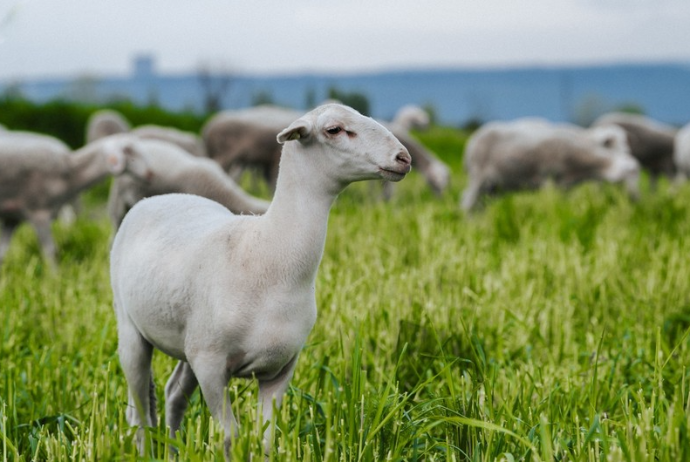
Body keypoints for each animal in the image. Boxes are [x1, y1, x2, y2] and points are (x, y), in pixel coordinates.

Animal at [0, 132, 150, 268]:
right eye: (128, 149)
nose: (148, 173)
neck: (70, 174)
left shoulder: (12, 218)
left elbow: (3, 252)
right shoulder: (39, 211)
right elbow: (50, 251)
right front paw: (55, 277)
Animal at [460, 117, 644, 211]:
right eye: (632, 171)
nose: (635, 199)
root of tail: (472, 140)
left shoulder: (563, 185)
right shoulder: (548, 179)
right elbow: (550, 204)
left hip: (494, 186)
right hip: (478, 176)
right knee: (467, 202)